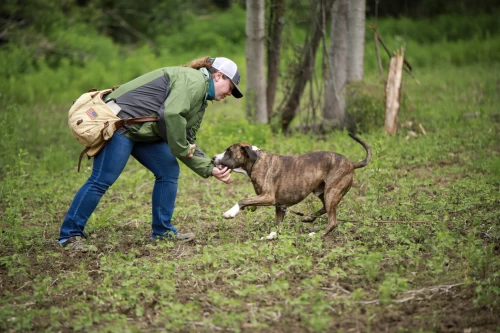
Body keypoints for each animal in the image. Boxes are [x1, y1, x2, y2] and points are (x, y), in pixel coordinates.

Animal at [211, 132, 372, 236]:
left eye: (228, 152)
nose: (213, 158)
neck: (255, 160)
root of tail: (351, 163)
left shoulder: (268, 197)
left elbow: (243, 200)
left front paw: (230, 212)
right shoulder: (279, 205)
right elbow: (277, 224)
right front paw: (273, 236)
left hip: (332, 191)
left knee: (332, 220)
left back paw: (315, 235)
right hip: (322, 191)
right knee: (326, 208)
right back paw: (309, 218)